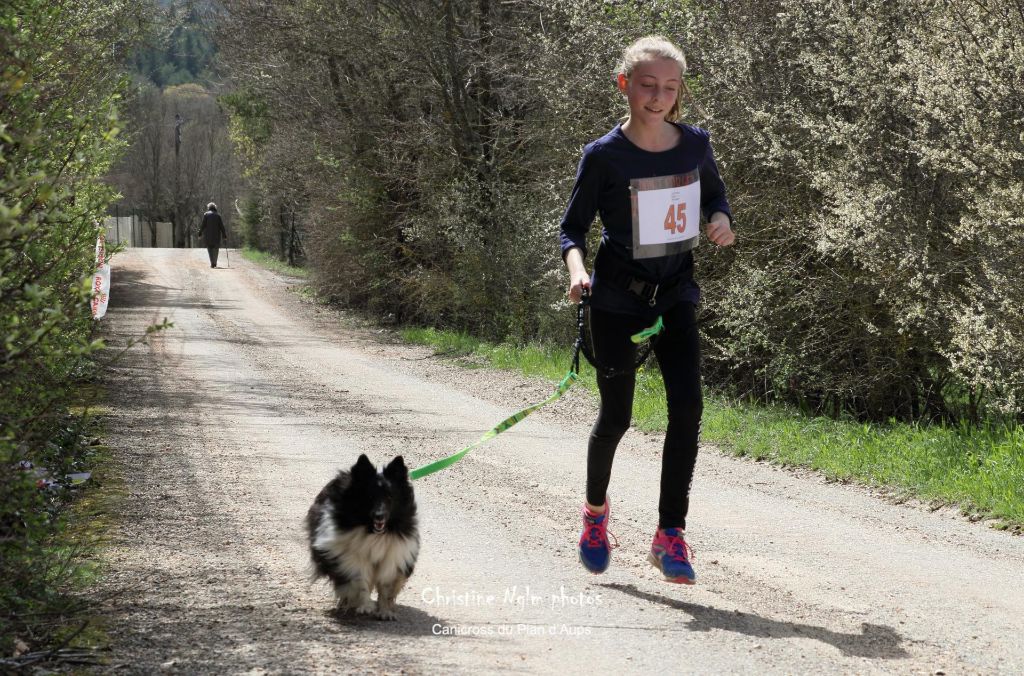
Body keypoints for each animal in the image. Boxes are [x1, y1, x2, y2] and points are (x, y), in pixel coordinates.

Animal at [303, 454, 419, 618]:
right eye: (369, 496)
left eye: (390, 497)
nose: (379, 516)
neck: (373, 533)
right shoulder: (349, 557)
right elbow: (359, 581)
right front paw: (365, 607)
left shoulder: (394, 555)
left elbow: (386, 586)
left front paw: (385, 612)